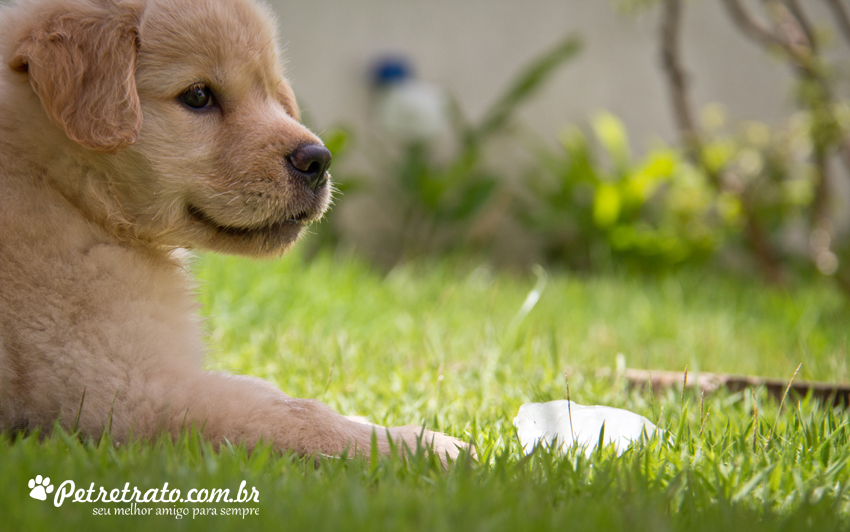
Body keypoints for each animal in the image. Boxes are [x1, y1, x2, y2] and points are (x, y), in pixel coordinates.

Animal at [0, 0, 464, 462]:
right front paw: (422, 445)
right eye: (198, 96)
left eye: (274, 93)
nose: (319, 161)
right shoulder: (127, 392)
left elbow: (274, 394)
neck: (65, 188)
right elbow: (294, 413)